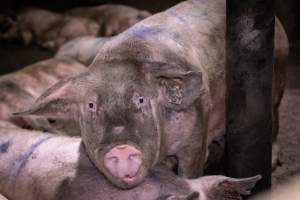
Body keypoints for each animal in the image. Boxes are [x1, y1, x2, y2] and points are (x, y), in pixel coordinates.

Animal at [17, 0, 290, 189]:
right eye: (92, 105)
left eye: (141, 100)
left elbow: (191, 169)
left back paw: (272, 161)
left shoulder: (195, 138)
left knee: (275, 119)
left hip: (278, 75)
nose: (121, 148)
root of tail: (277, 22)